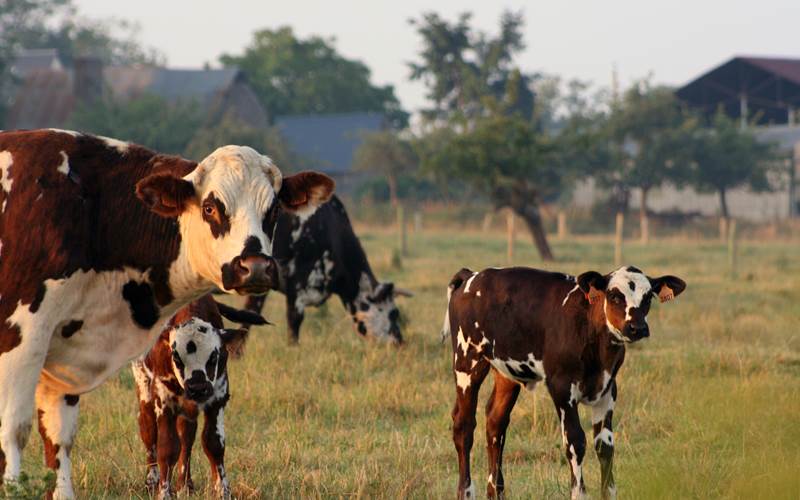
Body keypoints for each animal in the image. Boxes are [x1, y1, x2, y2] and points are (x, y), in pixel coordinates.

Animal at [132, 295, 266, 499]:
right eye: (176, 357)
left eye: (213, 357)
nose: (197, 389)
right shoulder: (165, 402)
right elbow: (167, 448)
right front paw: (164, 492)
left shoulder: (217, 398)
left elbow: (213, 443)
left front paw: (222, 491)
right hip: (144, 388)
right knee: (149, 432)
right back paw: (151, 482)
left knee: (186, 437)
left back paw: (185, 484)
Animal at [443, 265, 686, 500]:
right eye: (614, 295)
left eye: (648, 297)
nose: (638, 327)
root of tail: (472, 275)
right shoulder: (561, 388)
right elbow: (575, 442)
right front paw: (579, 493)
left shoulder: (608, 390)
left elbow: (605, 445)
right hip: (467, 362)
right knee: (464, 425)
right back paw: (466, 492)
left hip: (506, 373)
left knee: (495, 422)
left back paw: (496, 492)